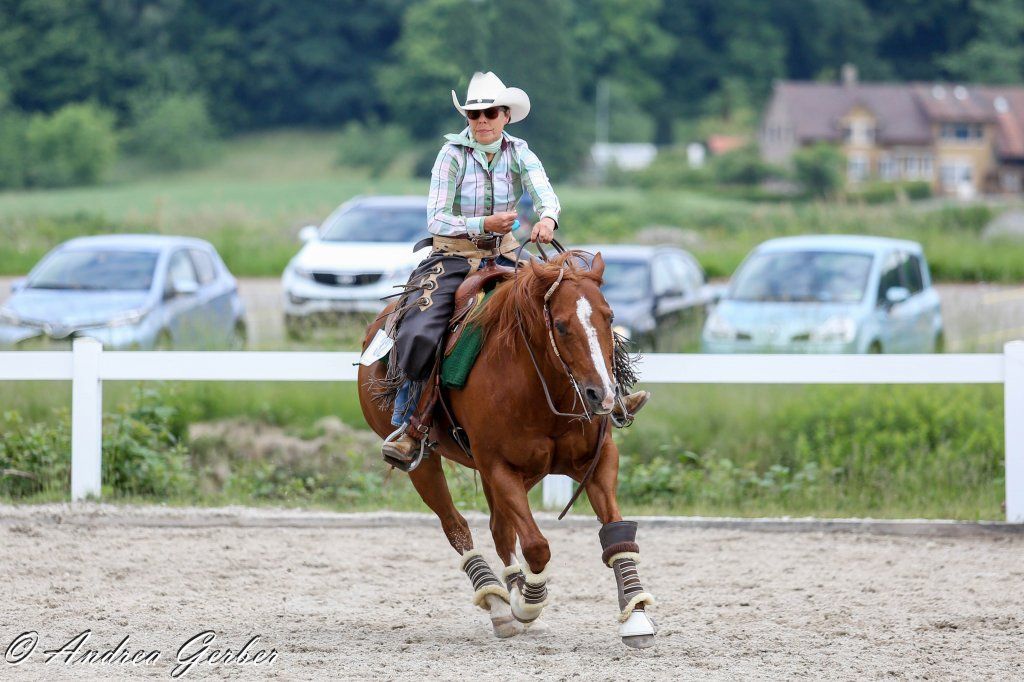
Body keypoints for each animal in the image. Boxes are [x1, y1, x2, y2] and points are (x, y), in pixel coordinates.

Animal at [357, 250, 657, 649]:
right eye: (561, 325)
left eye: (608, 317)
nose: (603, 396)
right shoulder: (500, 468)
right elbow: (537, 546)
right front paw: (528, 604)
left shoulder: (598, 461)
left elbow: (617, 533)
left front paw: (636, 615)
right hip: (428, 463)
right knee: (457, 527)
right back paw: (499, 604)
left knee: (500, 530)